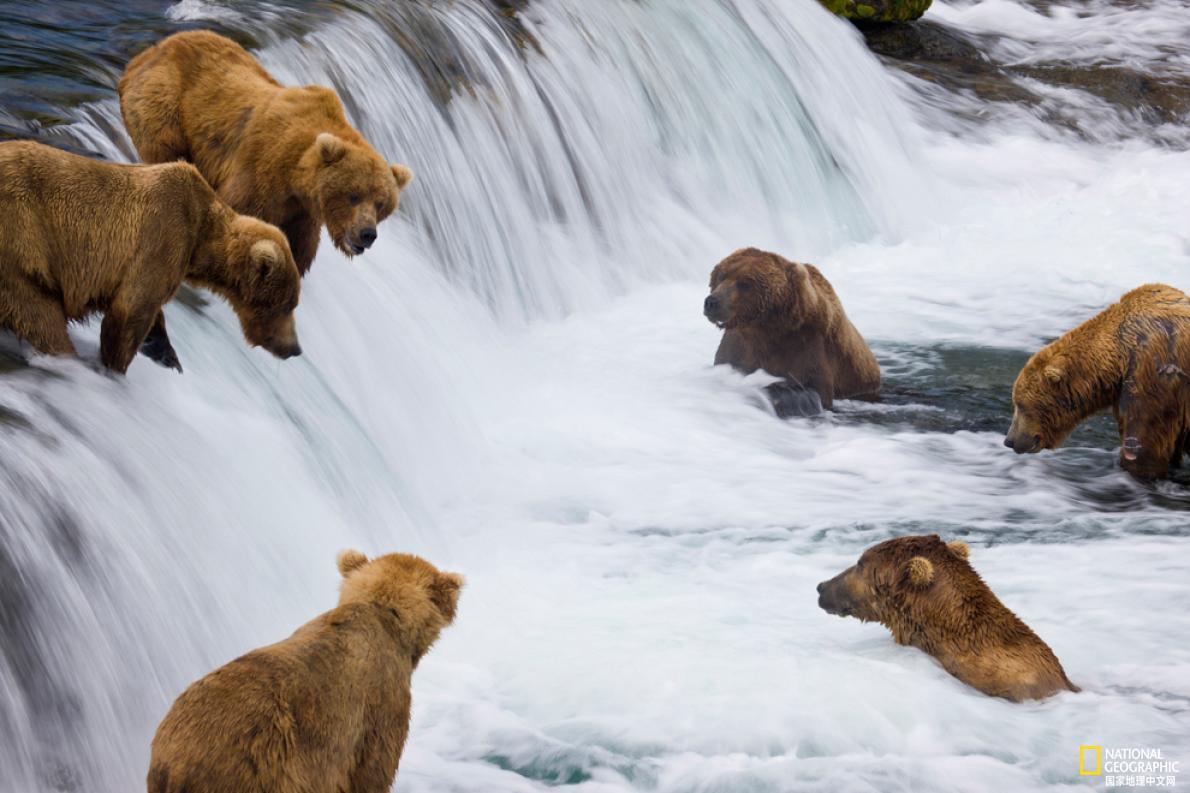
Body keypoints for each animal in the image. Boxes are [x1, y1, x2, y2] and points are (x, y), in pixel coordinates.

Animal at [699, 247, 880, 414]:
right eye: (722, 275)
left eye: (745, 283)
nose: (712, 302)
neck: (764, 329)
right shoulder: (738, 347)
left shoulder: (807, 346)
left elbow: (814, 390)